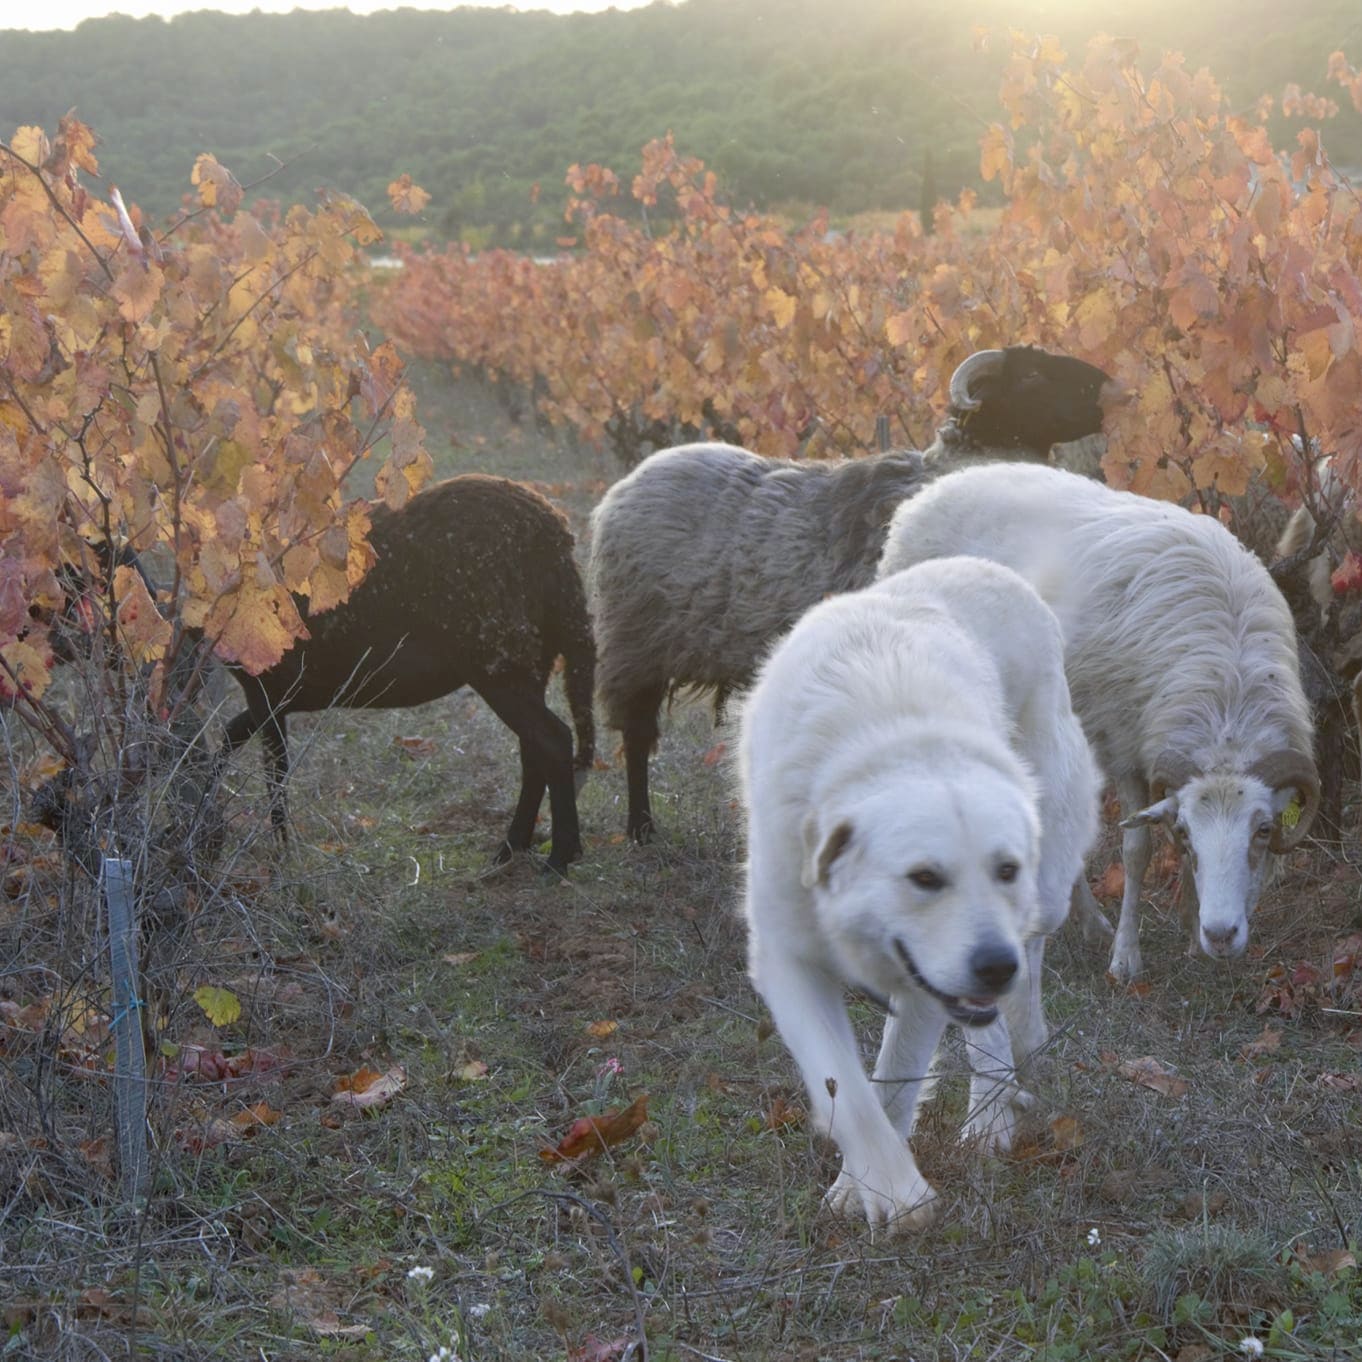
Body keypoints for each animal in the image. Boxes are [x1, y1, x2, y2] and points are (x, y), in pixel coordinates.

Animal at [220, 476, 593, 871]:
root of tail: (555, 537)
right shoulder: (290, 694)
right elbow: (230, 737)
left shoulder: (265, 689)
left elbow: (274, 774)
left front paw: (281, 856)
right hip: (531, 662)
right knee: (533, 749)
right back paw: (511, 849)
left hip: (500, 665)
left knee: (554, 740)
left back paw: (558, 858)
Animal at [591, 345, 1111, 838]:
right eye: (1032, 375)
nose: (1105, 388)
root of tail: (631, 481)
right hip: (635, 643)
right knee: (636, 737)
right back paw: (640, 828)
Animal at [740, 552, 1100, 1236]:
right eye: (925, 878)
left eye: (1005, 869)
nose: (994, 966)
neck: (888, 741)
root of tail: (993, 568)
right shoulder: (787, 958)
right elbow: (849, 1092)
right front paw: (880, 1186)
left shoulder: (927, 984)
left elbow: (894, 1082)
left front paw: (885, 1195)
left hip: (1045, 893)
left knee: (1014, 1000)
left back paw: (991, 1114)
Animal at [877, 460, 1312, 980]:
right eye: (1189, 832)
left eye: (1263, 830)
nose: (1222, 935)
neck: (1225, 683)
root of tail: (929, 492)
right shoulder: (1124, 744)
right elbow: (1137, 851)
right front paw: (1126, 956)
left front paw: (1191, 932)